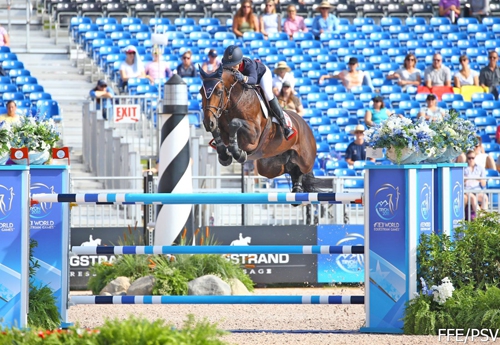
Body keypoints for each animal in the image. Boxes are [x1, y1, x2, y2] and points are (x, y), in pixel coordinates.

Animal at [198, 63, 316, 194]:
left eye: (219, 92)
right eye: (200, 92)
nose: (208, 123)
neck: (235, 102)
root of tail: (305, 124)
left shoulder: (254, 135)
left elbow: (234, 123)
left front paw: (239, 154)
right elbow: (218, 132)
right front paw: (224, 156)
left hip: (305, 160)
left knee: (301, 169)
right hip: (269, 166)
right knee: (291, 168)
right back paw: (296, 187)